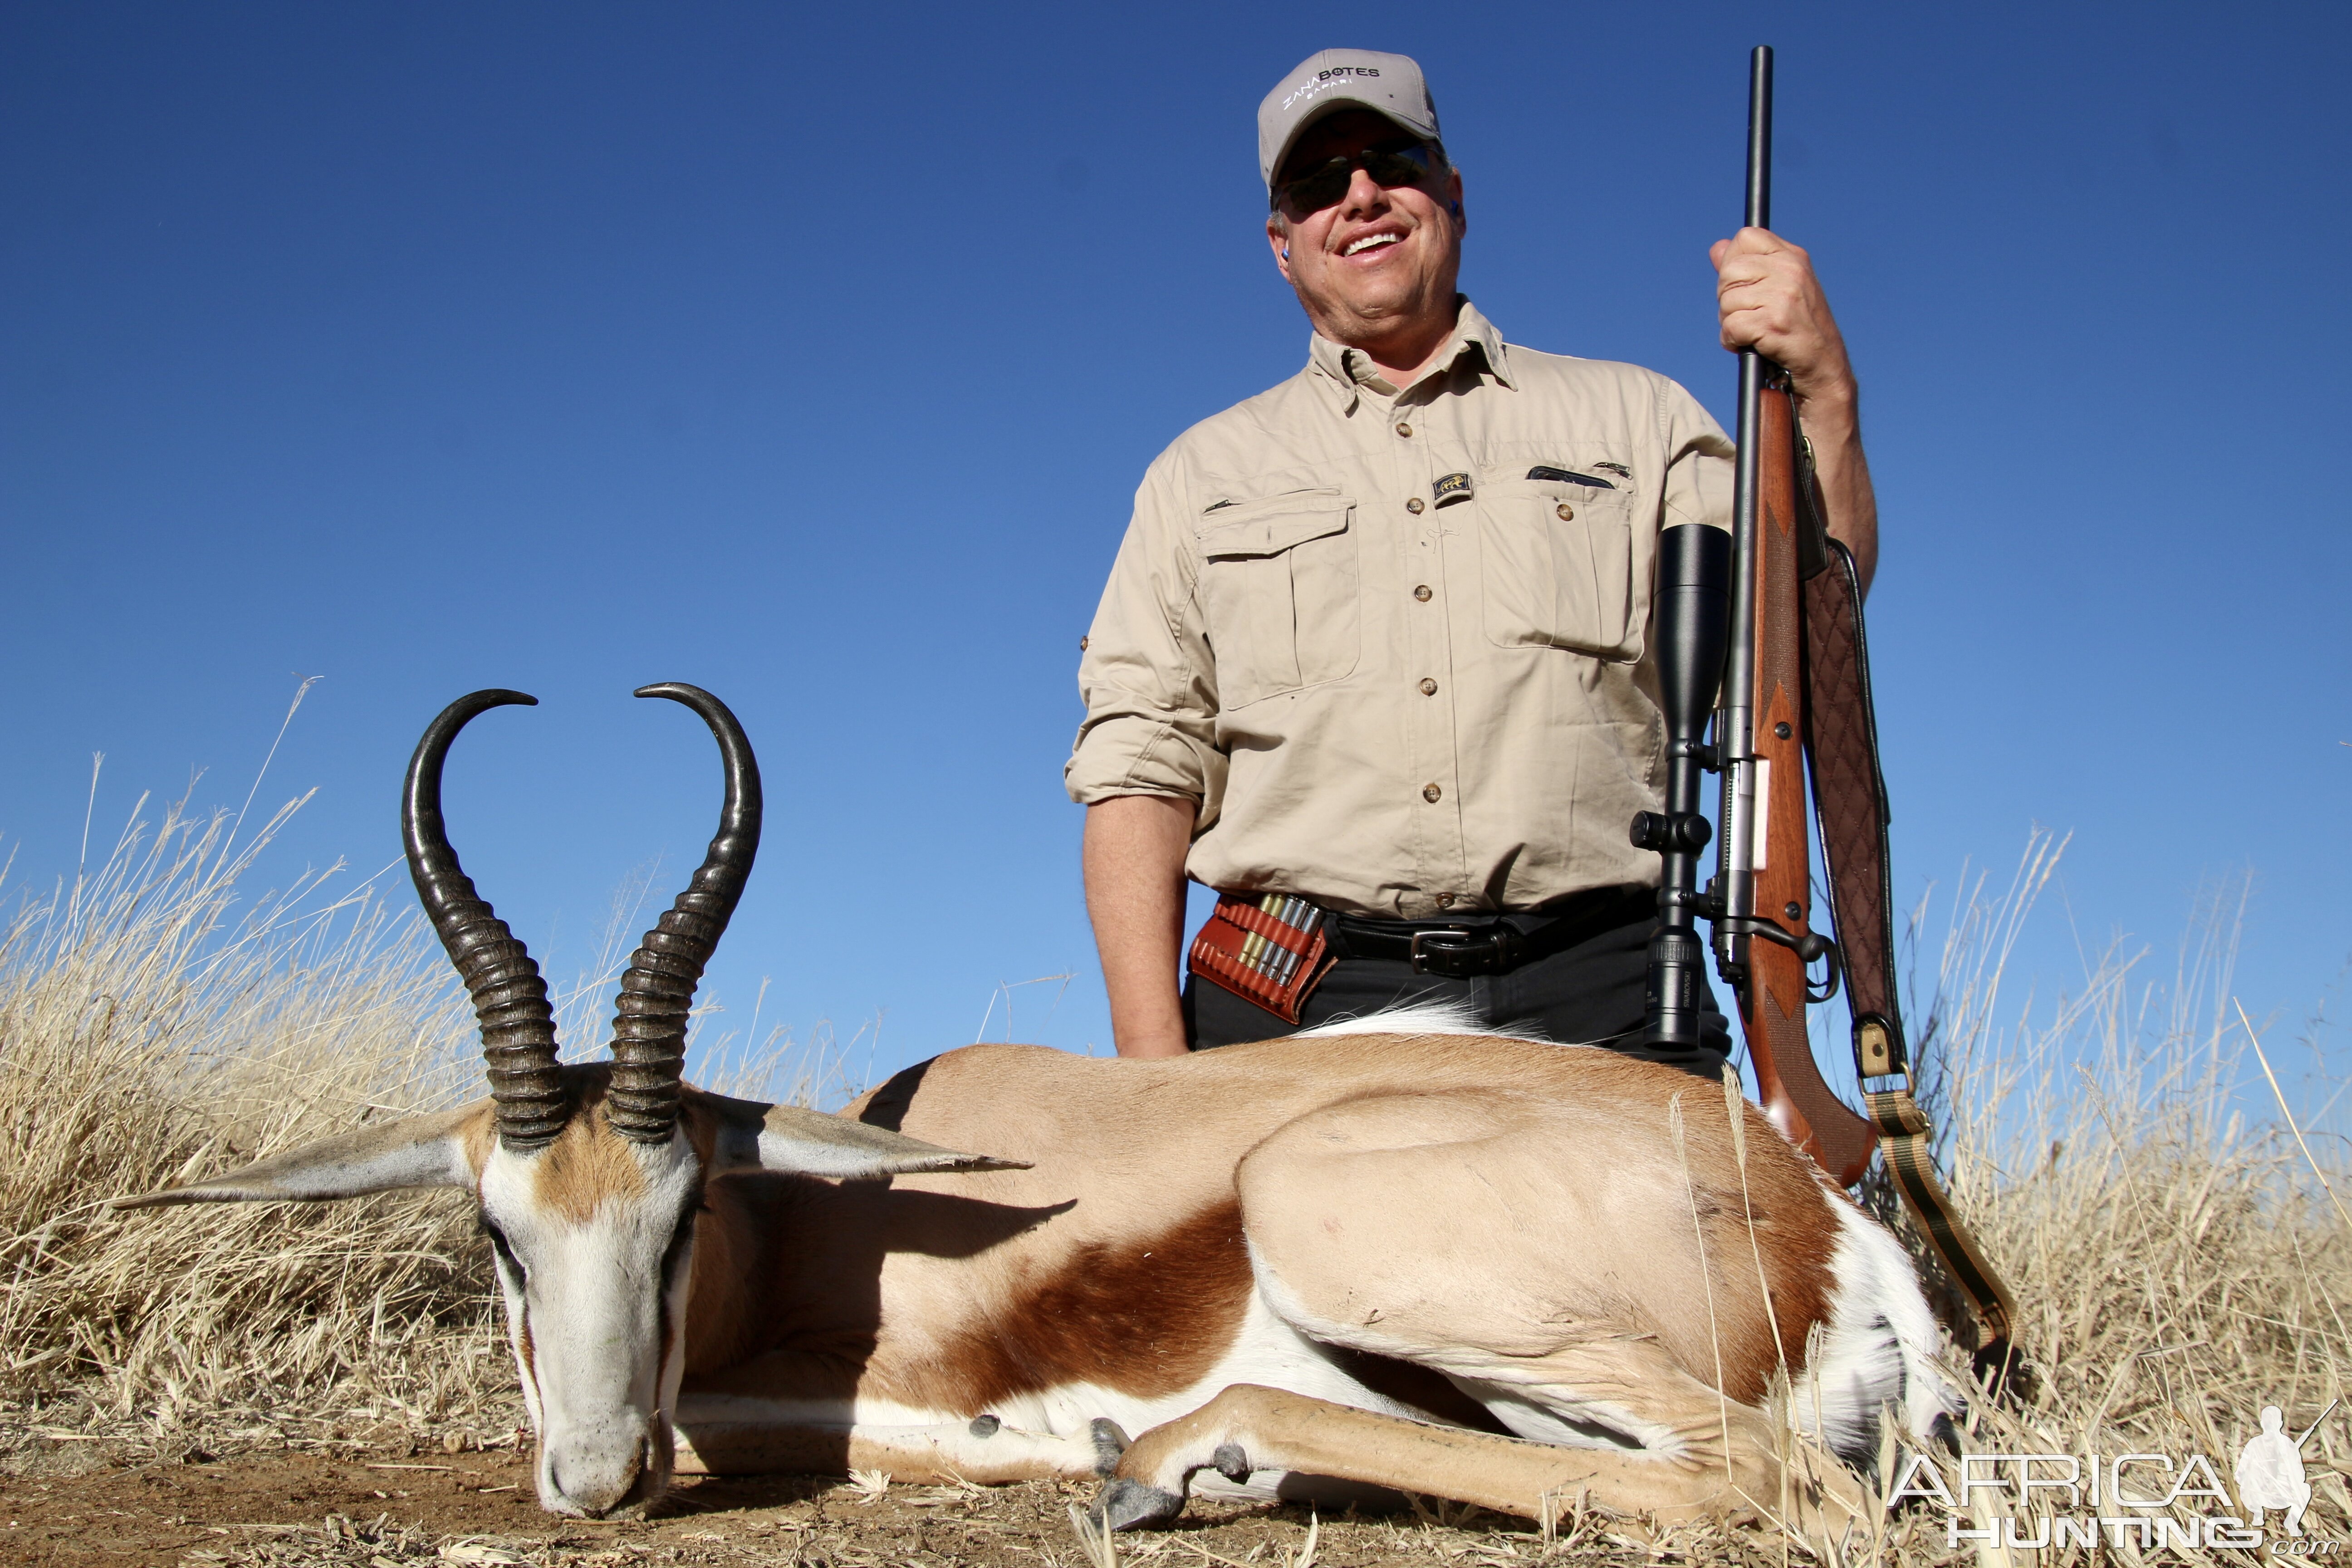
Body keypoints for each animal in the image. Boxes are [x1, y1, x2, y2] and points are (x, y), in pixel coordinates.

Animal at [114, 686, 1947, 1542]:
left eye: (682, 1214)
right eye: (497, 1234)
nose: (590, 1477)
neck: (827, 1224)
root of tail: (1826, 1223)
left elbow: (797, 1428)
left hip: (1342, 1236)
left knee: (1767, 1478)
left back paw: (1178, 1463)